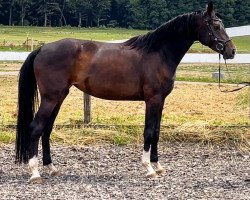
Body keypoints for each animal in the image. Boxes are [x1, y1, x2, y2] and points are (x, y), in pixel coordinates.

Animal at [15, 1, 234, 183]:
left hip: (59, 97)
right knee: (35, 128)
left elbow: (156, 132)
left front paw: (158, 165)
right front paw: (149, 169)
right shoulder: (152, 100)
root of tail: (42, 49)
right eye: (216, 26)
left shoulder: (161, 101)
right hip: (50, 98)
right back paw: (35, 173)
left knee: (47, 129)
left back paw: (51, 168)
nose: (231, 51)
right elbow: (148, 132)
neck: (158, 54)